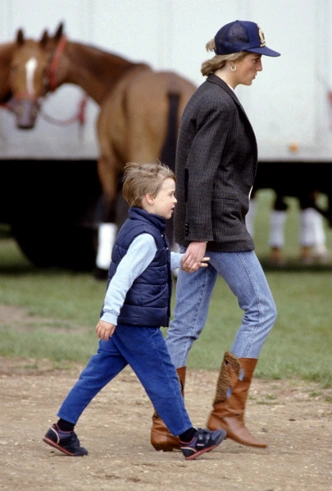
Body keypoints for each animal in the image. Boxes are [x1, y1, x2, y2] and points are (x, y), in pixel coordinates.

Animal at [4, 23, 197, 274]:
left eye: (44, 67)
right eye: (16, 67)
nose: (26, 114)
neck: (116, 82)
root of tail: (171, 88)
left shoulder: (107, 162)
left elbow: (107, 207)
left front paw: (102, 265)